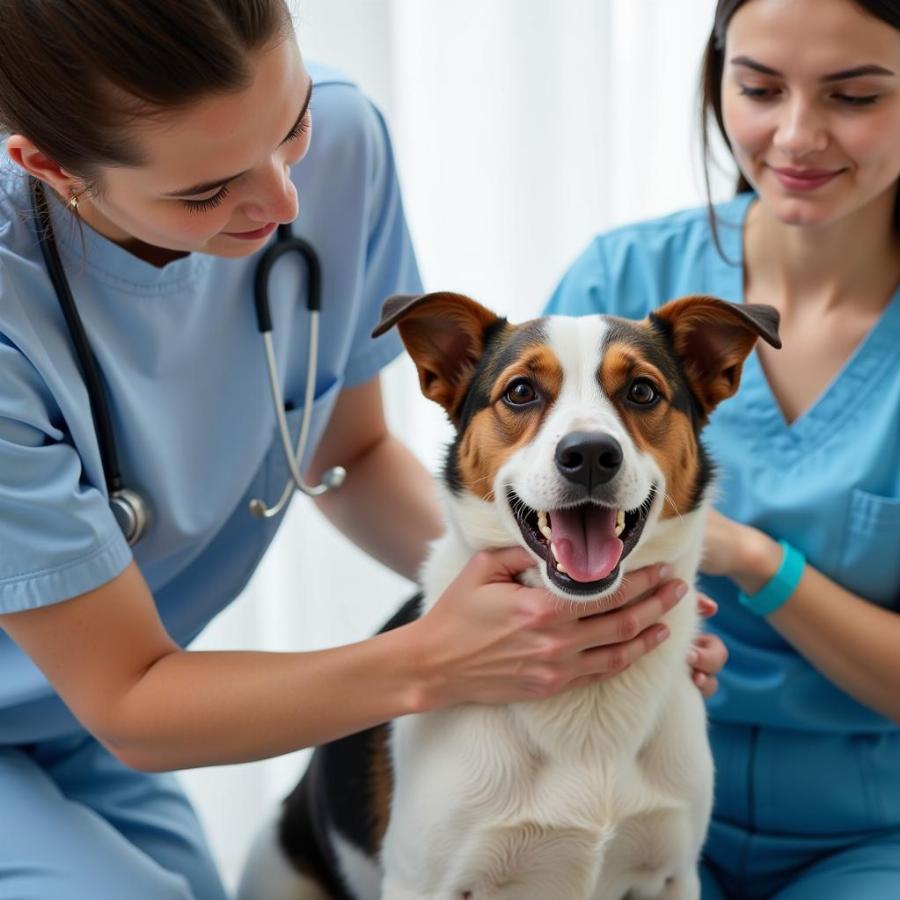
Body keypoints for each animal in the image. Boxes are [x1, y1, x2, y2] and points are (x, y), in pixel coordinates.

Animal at [239, 292, 780, 896]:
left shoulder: (671, 876)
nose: (590, 454)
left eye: (642, 391)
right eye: (521, 391)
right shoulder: (423, 882)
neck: (588, 704)